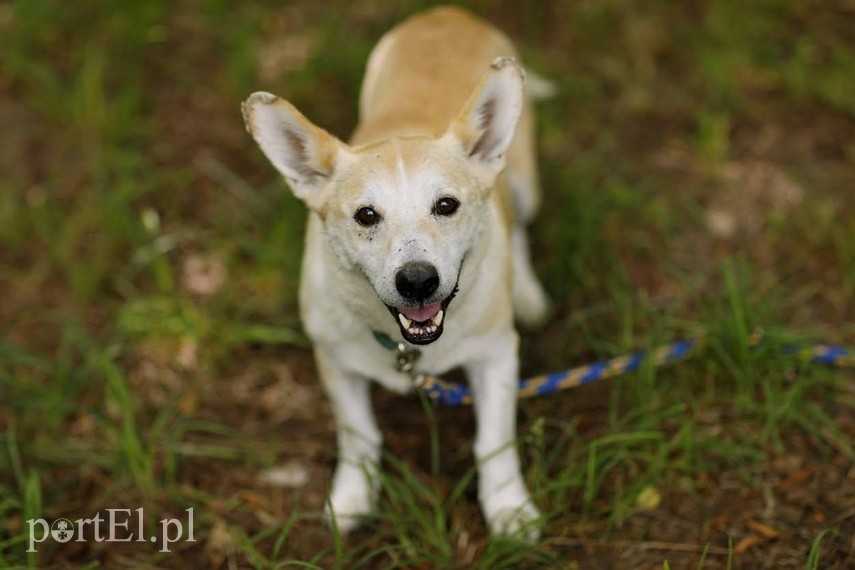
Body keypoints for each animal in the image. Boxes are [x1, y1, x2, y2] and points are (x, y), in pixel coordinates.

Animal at [241, 5, 552, 536]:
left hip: (525, 183)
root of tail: (446, 12)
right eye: (366, 216)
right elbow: (359, 435)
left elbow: (495, 444)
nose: (418, 280)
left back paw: (527, 292)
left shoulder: (496, 357)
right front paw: (352, 499)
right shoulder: (337, 363)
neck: (412, 351)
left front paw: (510, 510)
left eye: (446, 205)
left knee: (519, 228)